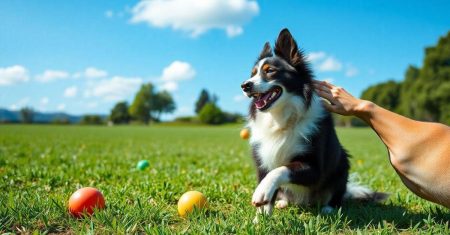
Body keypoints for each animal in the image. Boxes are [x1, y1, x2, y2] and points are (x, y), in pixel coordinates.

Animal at [241, 28, 384, 221]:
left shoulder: (314, 168)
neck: (281, 120)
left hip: (342, 165)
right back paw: (283, 202)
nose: (244, 85)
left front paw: (261, 192)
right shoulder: (263, 161)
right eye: (253, 74)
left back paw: (329, 208)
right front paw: (261, 219)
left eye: (270, 71)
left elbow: (281, 170)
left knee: (337, 194)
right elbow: (269, 182)